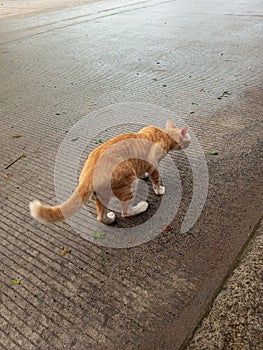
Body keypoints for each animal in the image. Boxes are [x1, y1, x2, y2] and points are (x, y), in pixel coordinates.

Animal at [29, 119, 191, 226]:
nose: (189, 142)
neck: (164, 135)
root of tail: (87, 176)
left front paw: (144, 175)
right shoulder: (153, 165)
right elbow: (156, 180)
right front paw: (159, 190)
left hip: (101, 195)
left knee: (101, 217)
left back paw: (110, 218)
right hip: (127, 185)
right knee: (126, 212)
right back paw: (141, 207)